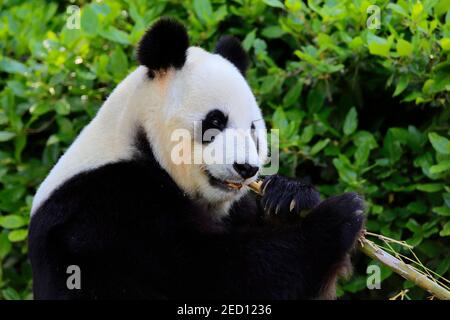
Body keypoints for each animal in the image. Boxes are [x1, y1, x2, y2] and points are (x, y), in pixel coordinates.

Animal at [28, 18, 364, 300]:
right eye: (215, 121)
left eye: (253, 130)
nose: (246, 168)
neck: (138, 143)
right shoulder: (106, 210)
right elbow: (211, 274)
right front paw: (340, 215)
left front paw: (289, 197)